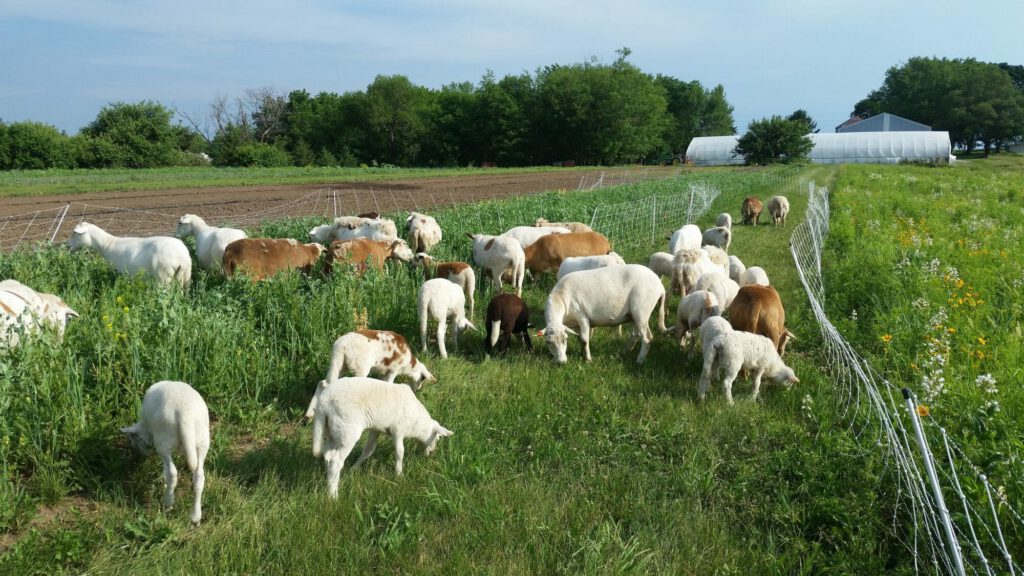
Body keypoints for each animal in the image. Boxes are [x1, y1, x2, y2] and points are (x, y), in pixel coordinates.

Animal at [120, 381, 210, 525]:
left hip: (163, 441)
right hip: (202, 441)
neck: (145, 426)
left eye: (133, 439)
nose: (138, 456)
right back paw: (196, 516)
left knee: (172, 473)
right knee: (199, 477)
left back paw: (168, 503)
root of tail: (185, 415)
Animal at [304, 330, 435, 418]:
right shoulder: (393, 370)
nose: (417, 390)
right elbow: (389, 385)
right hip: (360, 368)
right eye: (422, 378)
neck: (408, 365)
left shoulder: (383, 373)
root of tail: (342, 345)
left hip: (338, 364)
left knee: (323, 383)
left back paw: (309, 414)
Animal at [310, 377, 453, 498]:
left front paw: (354, 469)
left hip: (331, 431)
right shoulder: (398, 430)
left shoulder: (376, 429)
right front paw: (399, 475)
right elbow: (400, 452)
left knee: (328, 457)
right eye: (438, 437)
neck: (416, 423)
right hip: (347, 430)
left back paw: (330, 483)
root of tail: (324, 401)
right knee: (336, 462)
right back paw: (333, 496)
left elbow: (368, 450)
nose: (431, 453)